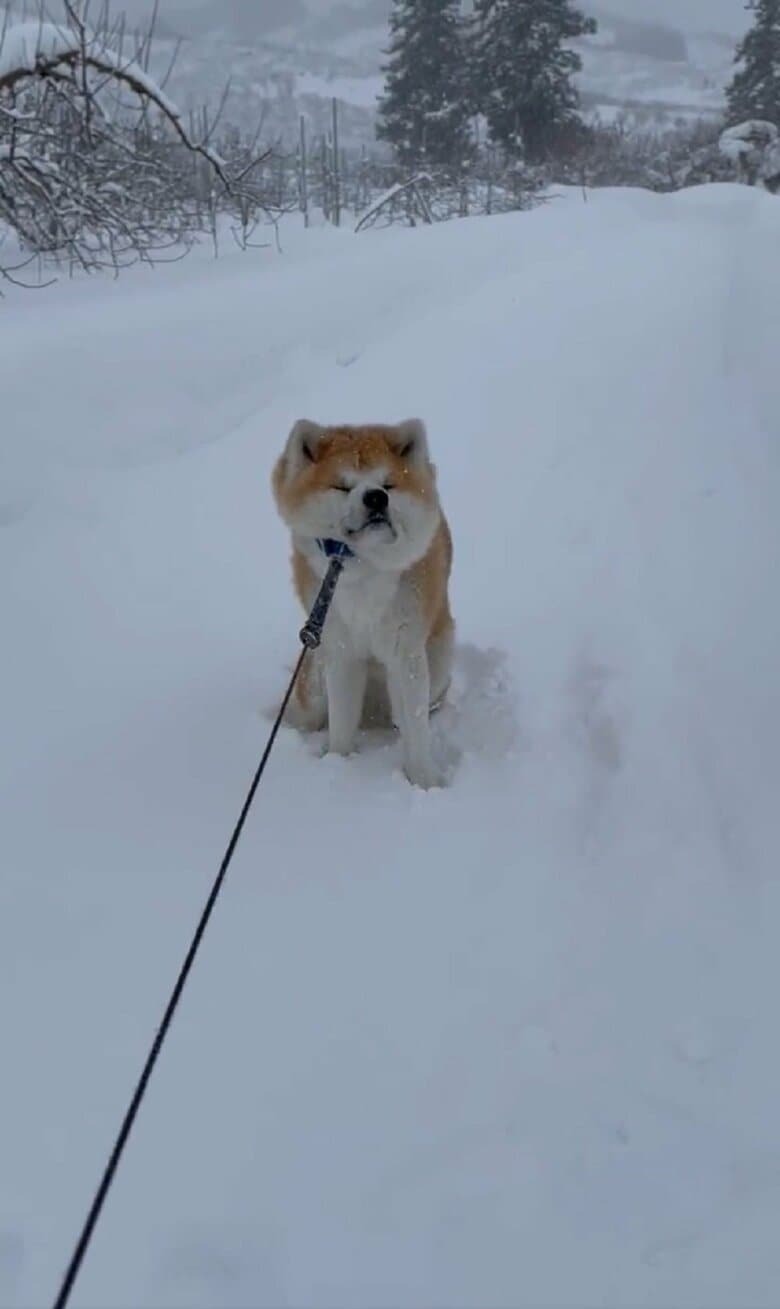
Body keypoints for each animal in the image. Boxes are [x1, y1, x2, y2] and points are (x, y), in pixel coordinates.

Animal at [274, 418, 452, 785]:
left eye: (388, 484)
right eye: (342, 487)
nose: (375, 497)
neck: (363, 567)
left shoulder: (405, 652)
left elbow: (416, 729)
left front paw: (424, 781)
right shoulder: (341, 652)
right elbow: (342, 721)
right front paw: (338, 763)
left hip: (437, 665)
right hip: (315, 680)